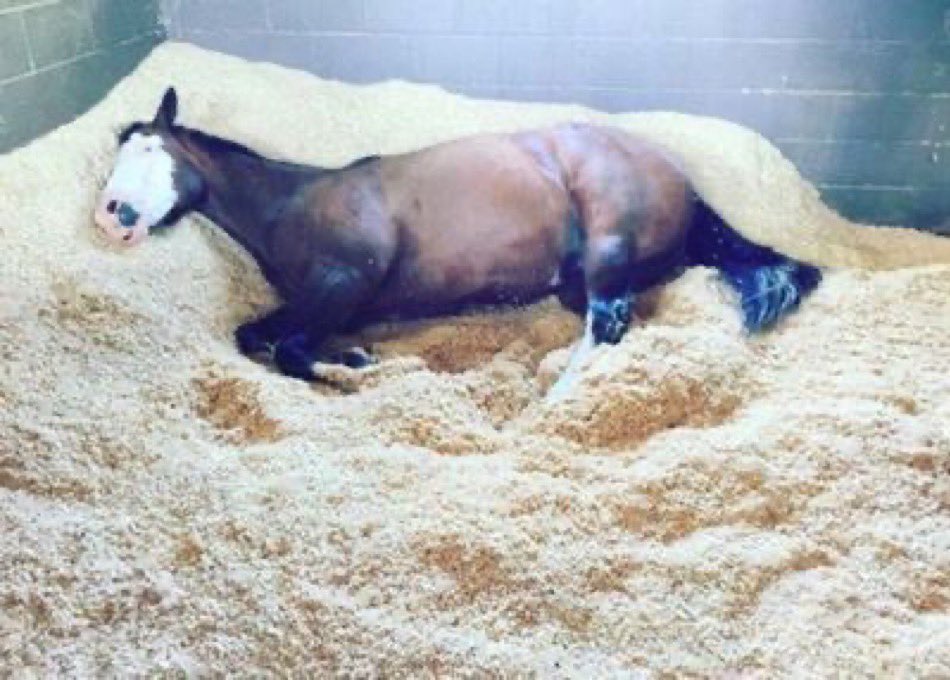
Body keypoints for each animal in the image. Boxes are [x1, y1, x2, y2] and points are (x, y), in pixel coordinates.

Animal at [95, 87, 821, 395]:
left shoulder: (343, 284)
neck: (295, 205)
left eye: (153, 151)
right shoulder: (331, 300)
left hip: (607, 251)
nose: (112, 215)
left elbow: (290, 350)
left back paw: (553, 399)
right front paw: (353, 356)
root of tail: (683, 181)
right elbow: (258, 335)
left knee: (608, 326)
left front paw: (348, 368)